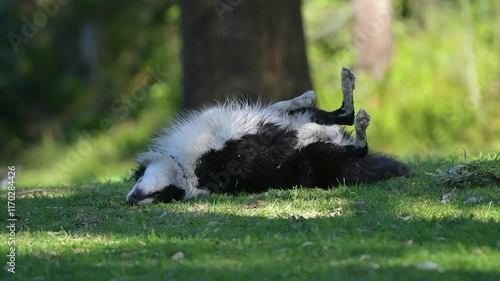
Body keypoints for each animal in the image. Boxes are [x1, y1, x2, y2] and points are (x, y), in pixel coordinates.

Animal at [125, 67, 410, 203]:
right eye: (163, 197)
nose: (132, 200)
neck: (188, 168)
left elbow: (280, 107)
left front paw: (303, 97)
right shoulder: (264, 148)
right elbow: (299, 132)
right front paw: (315, 128)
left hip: (319, 132)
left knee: (344, 114)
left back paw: (347, 83)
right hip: (320, 156)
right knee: (355, 142)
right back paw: (355, 125)